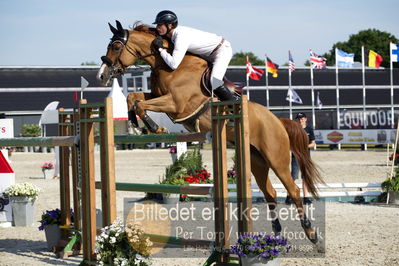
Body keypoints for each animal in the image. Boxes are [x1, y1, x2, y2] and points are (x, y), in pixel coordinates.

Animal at [97, 21, 324, 244]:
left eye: (116, 46)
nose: (102, 75)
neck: (168, 66)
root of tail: (278, 120)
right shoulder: (158, 95)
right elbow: (133, 98)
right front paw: (137, 124)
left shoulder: (175, 104)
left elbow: (141, 104)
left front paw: (154, 127)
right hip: (257, 161)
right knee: (270, 192)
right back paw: (276, 233)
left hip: (276, 158)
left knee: (293, 189)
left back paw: (311, 233)